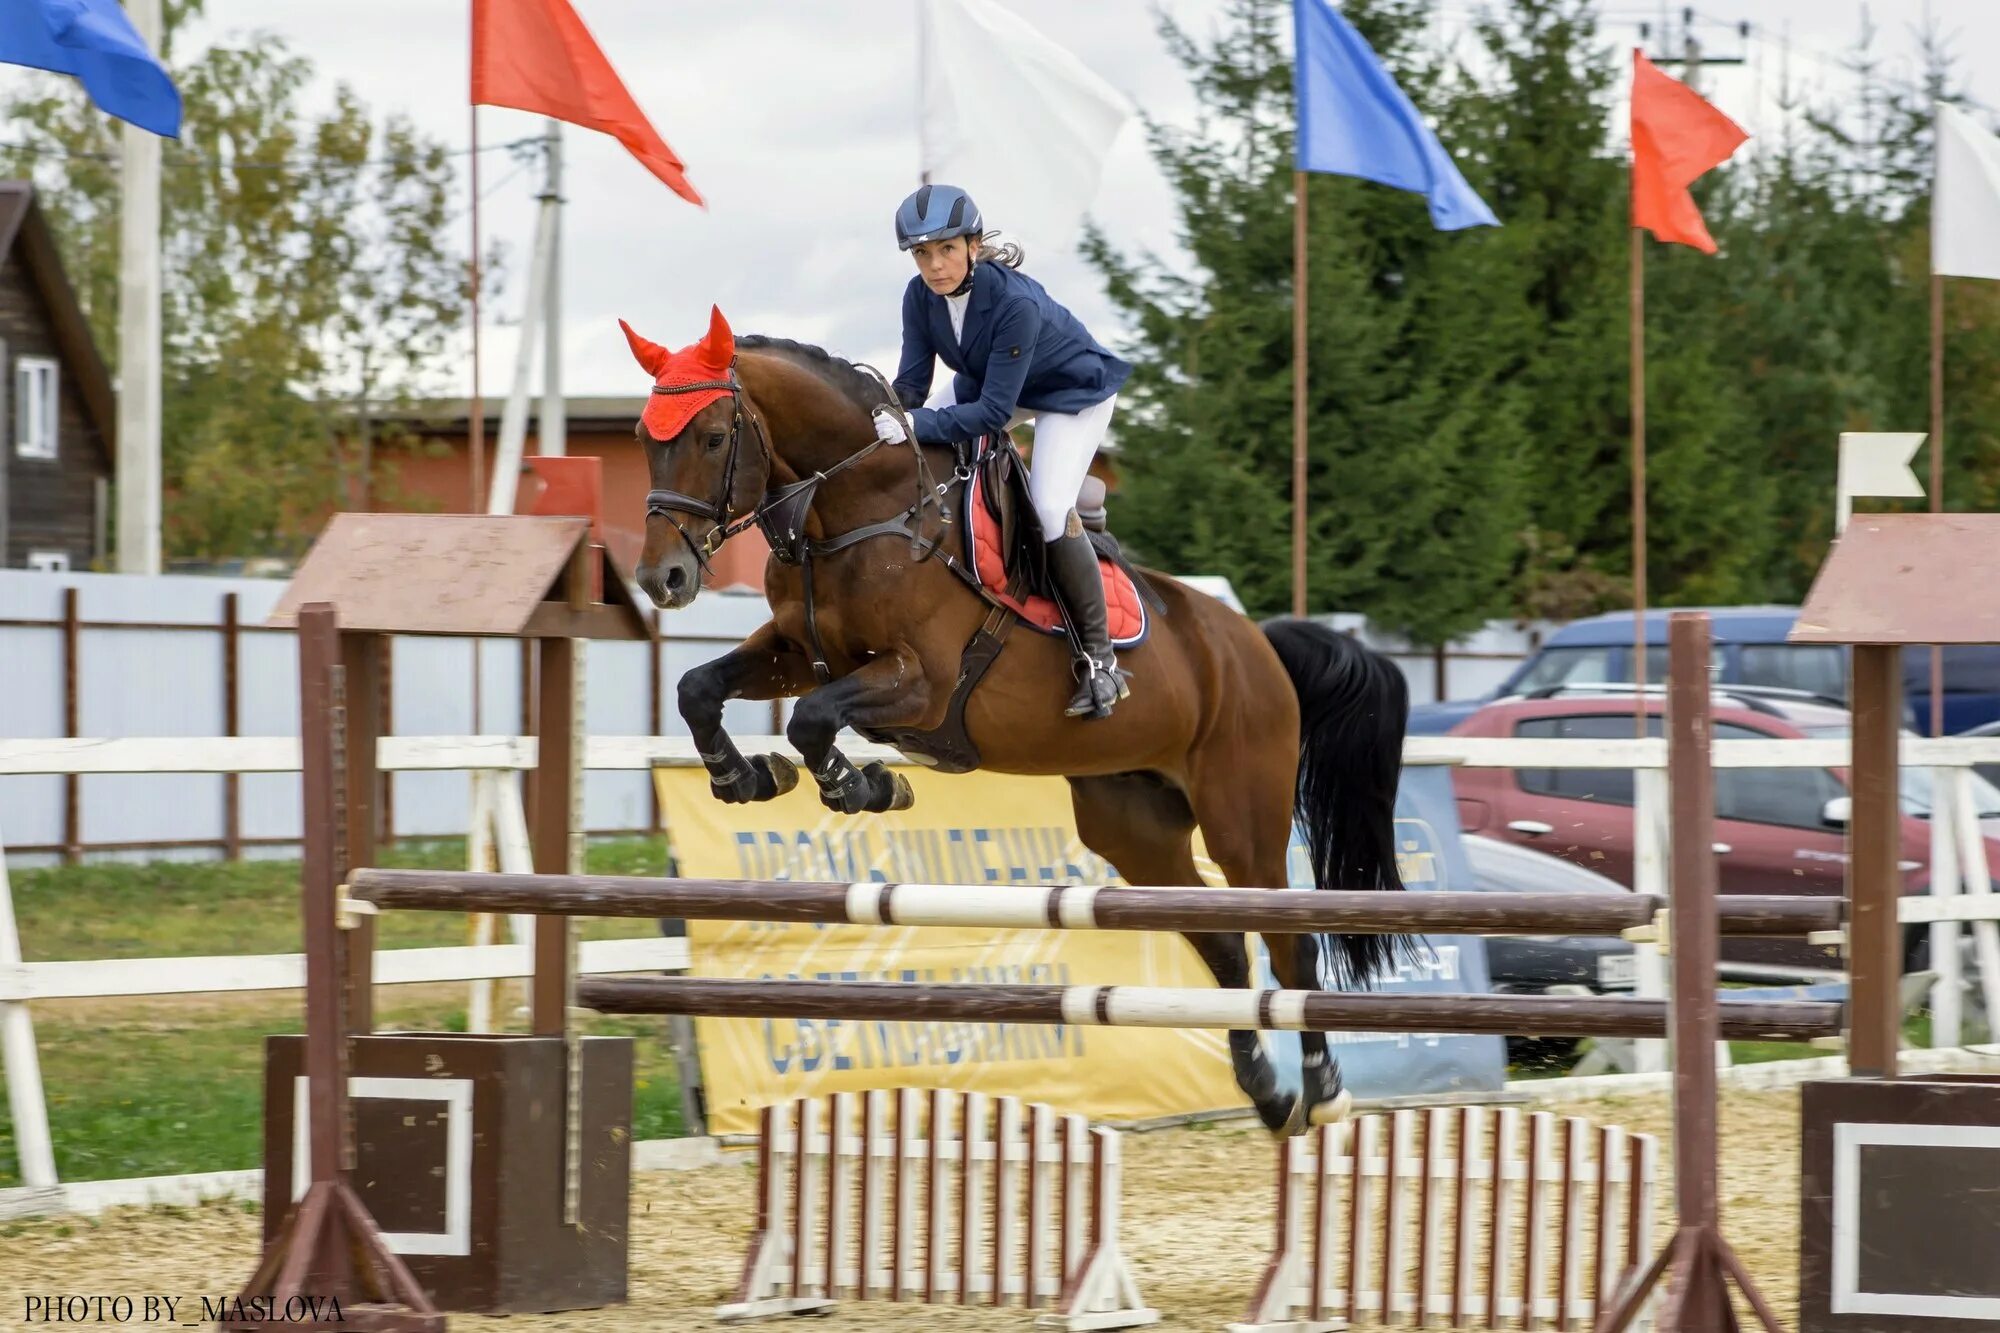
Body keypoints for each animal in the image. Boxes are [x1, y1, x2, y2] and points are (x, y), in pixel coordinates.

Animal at [616, 306, 1416, 1128]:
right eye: (645, 436)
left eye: (715, 437)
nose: (661, 578)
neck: (855, 510)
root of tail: (1260, 643)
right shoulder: (795, 650)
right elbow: (697, 687)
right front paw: (746, 776)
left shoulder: (921, 681)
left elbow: (810, 720)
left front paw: (862, 786)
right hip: (1135, 824)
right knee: (1222, 943)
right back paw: (1265, 1090)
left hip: (1240, 815)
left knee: (1289, 940)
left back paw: (1323, 1089)